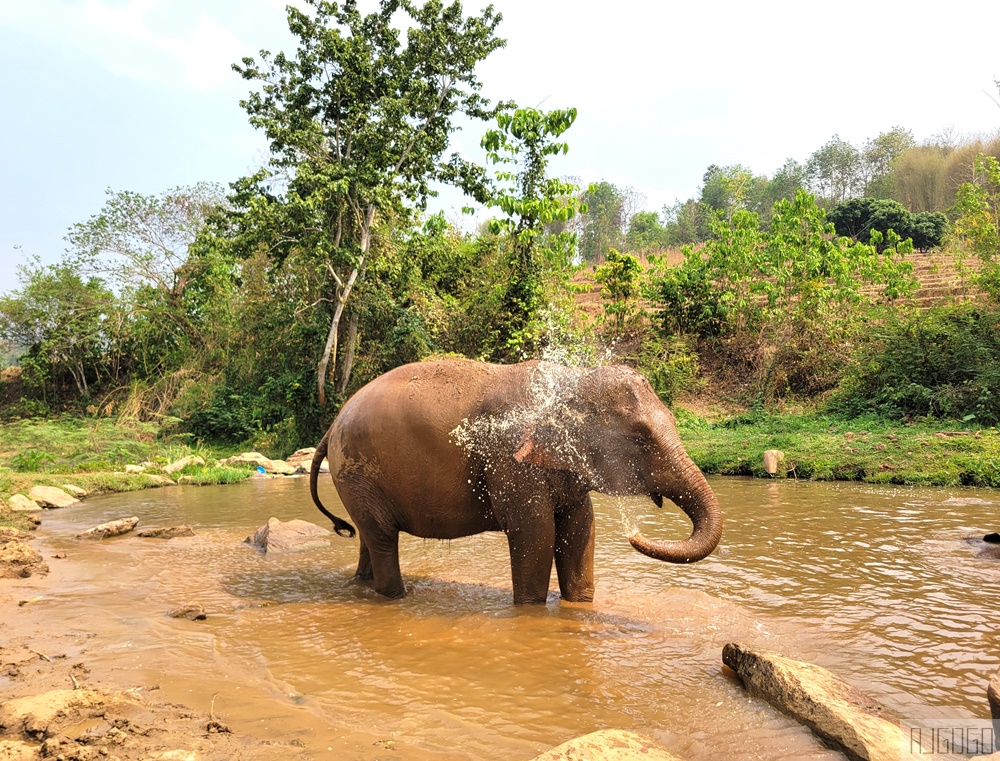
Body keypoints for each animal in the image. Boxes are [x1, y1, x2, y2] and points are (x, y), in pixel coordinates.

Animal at [309, 359, 723, 604]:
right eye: (640, 437)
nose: (635, 534)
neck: (565, 384)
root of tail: (332, 425)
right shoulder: (512, 463)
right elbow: (535, 535)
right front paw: (530, 612)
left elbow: (580, 529)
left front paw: (579, 608)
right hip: (357, 472)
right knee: (382, 537)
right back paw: (396, 597)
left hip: (358, 479)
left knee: (370, 536)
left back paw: (362, 587)